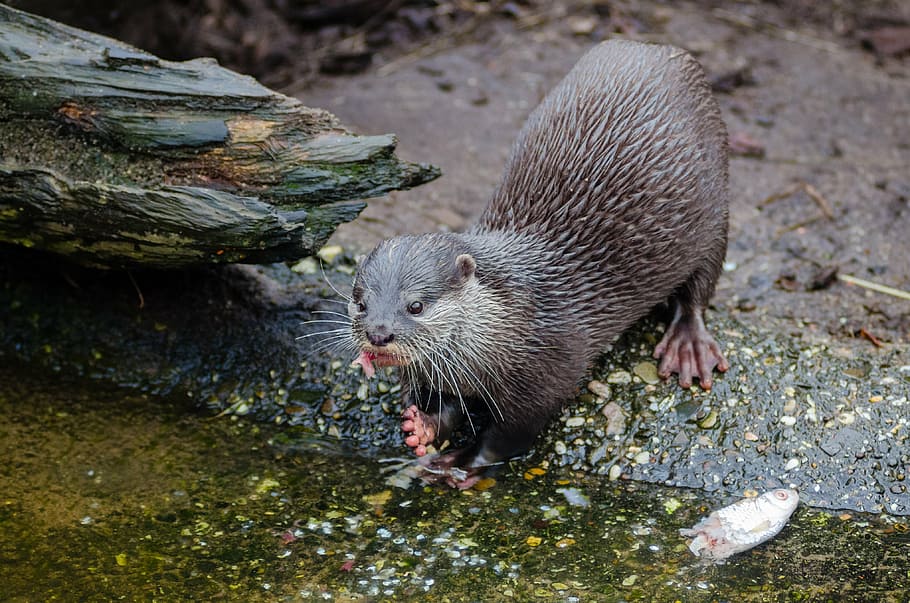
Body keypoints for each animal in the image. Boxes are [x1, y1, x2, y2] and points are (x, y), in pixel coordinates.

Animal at [346, 40, 732, 488]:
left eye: (416, 305)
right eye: (360, 302)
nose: (378, 333)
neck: (516, 321)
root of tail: (657, 48)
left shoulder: (548, 371)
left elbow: (510, 435)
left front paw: (460, 463)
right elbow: (448, 408)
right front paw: (421, 426)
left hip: (715, 211)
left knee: (699, 288)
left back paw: (688, 345)